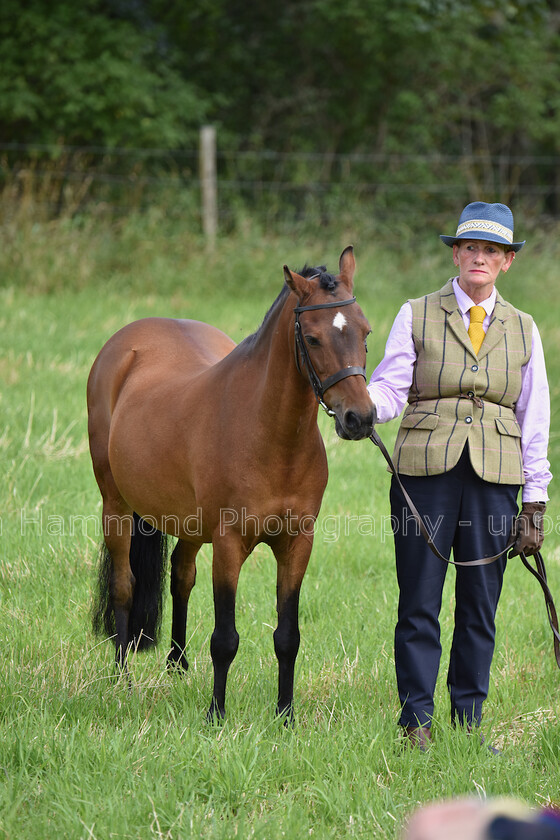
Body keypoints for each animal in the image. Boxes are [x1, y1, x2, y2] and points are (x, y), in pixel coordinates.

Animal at [87, 244, 374, 720]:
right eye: (313, 338)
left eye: (365, 332)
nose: (360, 419)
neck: (270, 436)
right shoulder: (228, 543)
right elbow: (225, 639)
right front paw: (216, 715)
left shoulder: (297, 543)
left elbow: (287, 637)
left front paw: (285, 715)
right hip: (117, 506)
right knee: (124, 586)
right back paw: (121, 679)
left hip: (186, 522)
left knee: (181, 574)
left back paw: (178, 665)